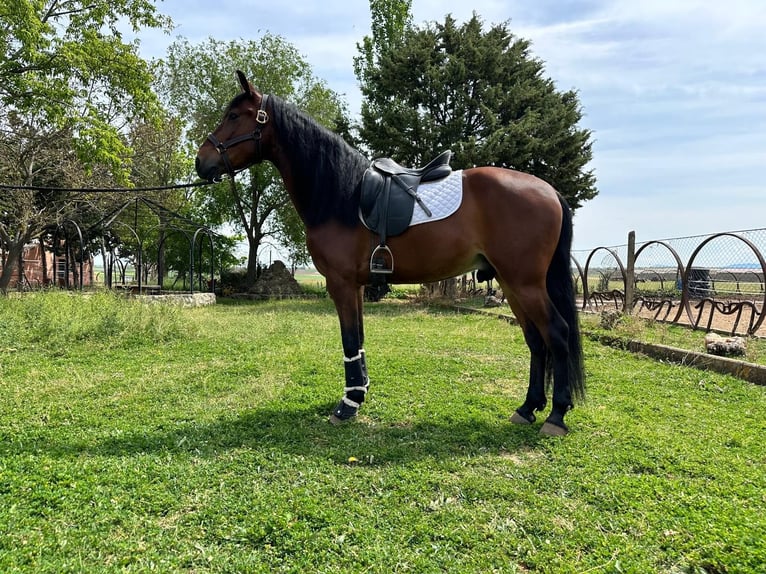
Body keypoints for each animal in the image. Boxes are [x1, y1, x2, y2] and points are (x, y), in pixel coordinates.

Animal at [196, 71, 585, 436]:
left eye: (234, 116)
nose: (202, 162)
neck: (343, 195)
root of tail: (549, 191)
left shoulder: (340, 283)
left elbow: (349, 339)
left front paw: (348, 404)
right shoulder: (355, 285)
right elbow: (359, 339)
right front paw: (360, 393)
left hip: (524, 283)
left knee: (557, 333)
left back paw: (556, 416)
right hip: (510, 282)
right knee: (535, 340)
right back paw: (527, 408)